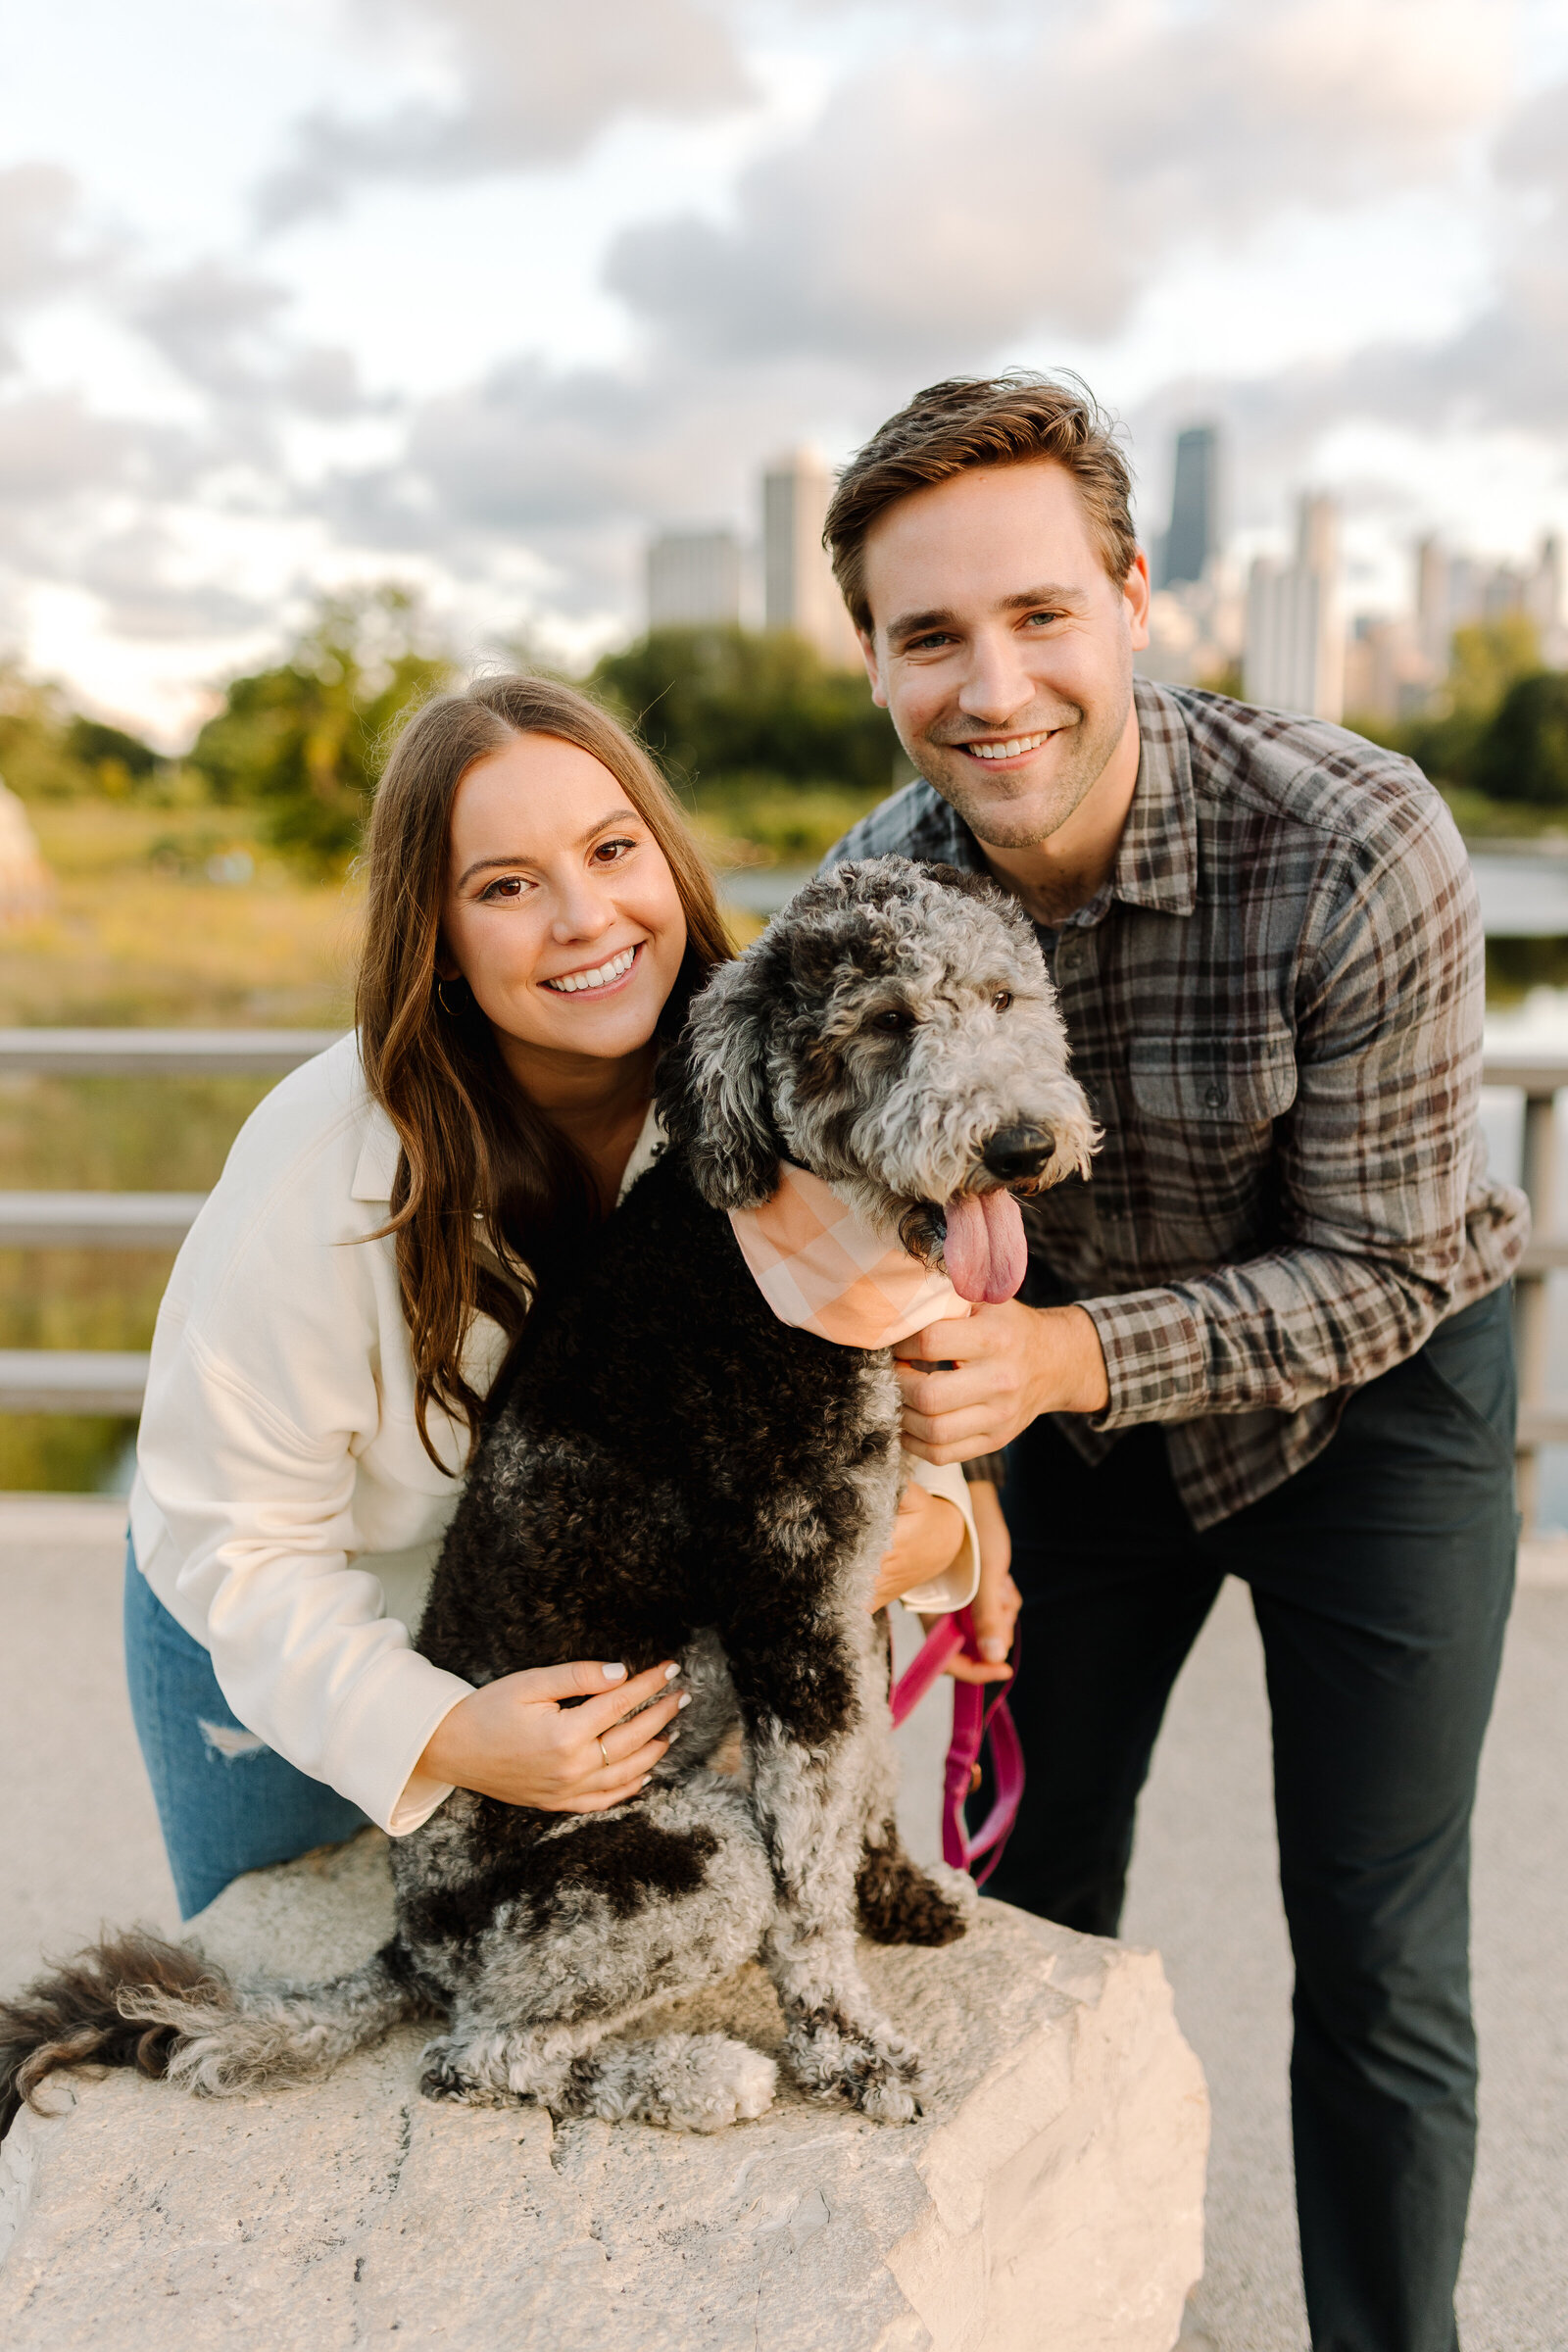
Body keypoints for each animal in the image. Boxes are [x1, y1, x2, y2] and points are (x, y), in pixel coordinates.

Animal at [0, 860, 1100, 2135]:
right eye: (881, 1023)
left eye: (1005, 996)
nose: (1021, 1145)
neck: (773, 1244)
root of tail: (410, 1944)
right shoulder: (791, 1599)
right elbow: (807, 1863)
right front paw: (849, 2045)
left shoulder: (849, 1586)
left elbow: (864, 1778)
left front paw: (894, 1893)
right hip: (681, 1854)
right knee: (479, 2058)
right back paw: (692, 2075)